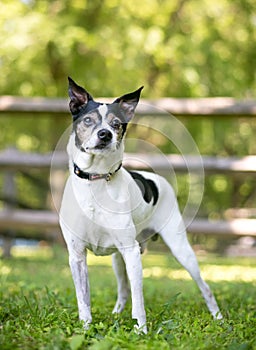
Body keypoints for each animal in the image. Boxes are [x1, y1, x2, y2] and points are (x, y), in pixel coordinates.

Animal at [59, 77, 222, 334]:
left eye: (116, 124)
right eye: (88, 120)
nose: (105, 134)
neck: (96, 180)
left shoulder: (131, 252)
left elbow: (139, 299)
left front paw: (141, 331)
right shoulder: (76, 255)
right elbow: (83, 299)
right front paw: (85, 329)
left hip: (180, 249)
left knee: (204, 286)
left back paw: (218, 317)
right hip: (117, 260)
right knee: (123, 290)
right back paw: (116, 314)